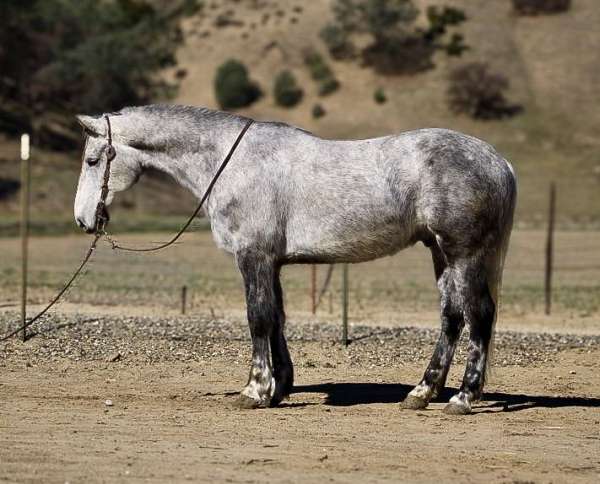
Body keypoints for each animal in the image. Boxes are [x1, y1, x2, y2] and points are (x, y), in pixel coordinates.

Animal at [74, 104, 516, 414]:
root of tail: (499, 161)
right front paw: (279, 387)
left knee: (479, 315)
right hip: (441, 253)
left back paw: (463, 397)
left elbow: (258, 318)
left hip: (464, 254)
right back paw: (423, 392)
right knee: (451, 318)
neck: (233, 162)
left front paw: (254, 390)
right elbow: (277, 319)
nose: (82, 220)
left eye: (93, 160)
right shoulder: (272, 262)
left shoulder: (253, 256)